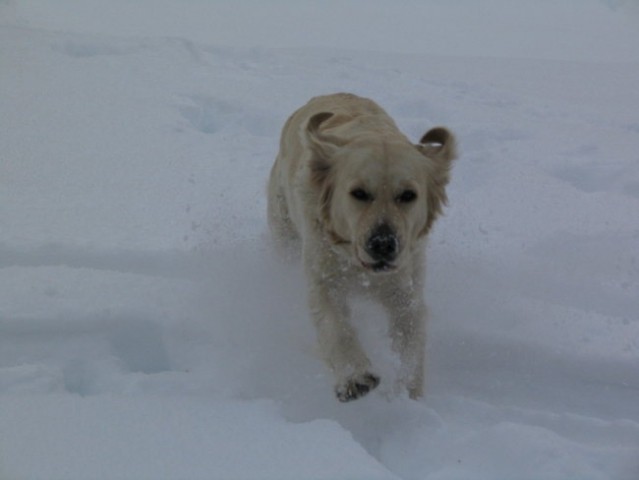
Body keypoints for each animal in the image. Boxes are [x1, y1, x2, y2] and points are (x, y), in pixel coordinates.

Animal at [268, 94, 458, 402]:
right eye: (358, 193)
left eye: (408, 195)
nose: (383, 245)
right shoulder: (325, 275)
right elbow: (336, 326)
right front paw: (355, 377)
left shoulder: (404, 284)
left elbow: (409, 337)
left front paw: (408, 395)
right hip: (284, 232)